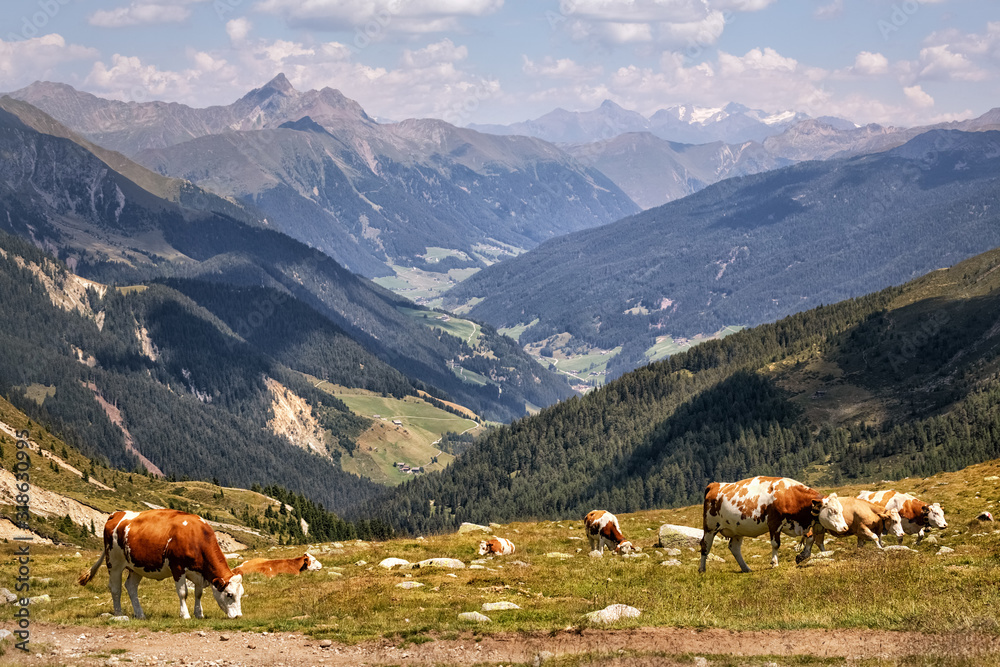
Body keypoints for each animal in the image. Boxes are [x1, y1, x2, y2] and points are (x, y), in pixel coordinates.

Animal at [78, 509, 244, 620]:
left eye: (241, 594)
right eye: (229, 594)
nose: (238, 616)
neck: (196, 536)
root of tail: (117, 513)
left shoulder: (198, 572)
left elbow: (198, 593)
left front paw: (199, 613)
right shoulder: (178, 567)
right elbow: (183, 593)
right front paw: (185, 615)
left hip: (136, 567)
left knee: (131, 587)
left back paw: (140, 614)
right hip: (114, 562)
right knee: (115, 588)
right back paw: (119, 613)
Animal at [699, 476, 849, 573]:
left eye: (841, 509)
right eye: (833, 510)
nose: (845, 527)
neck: (789, 495)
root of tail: (715, 485)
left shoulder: (801, 524)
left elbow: (810, 539)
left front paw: (801, 556)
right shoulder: (774, 523)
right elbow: (776, 544)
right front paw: (774, 563)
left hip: (737, 529)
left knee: (734, 548)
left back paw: (746, 568)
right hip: (710, 526)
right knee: (705, 545)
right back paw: (702, 569)